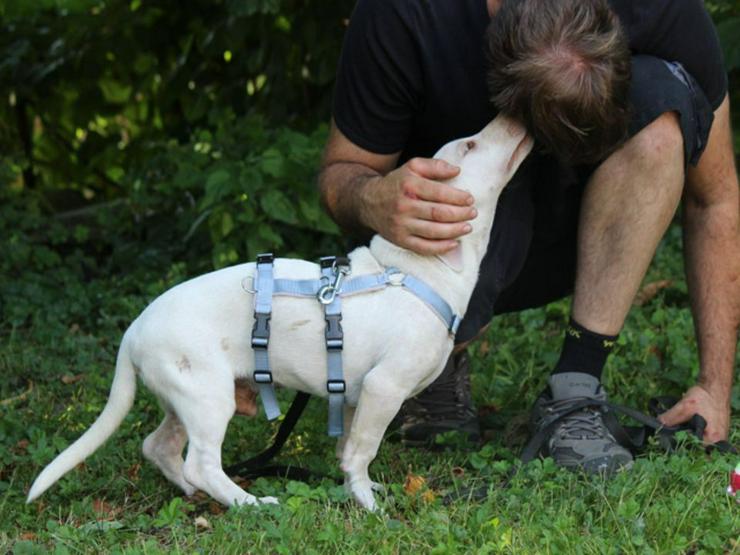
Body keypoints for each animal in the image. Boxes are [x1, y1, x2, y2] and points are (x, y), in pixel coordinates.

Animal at [24, 113, 532, 512]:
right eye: (470, 145)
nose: (514, 113)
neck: (410, 270)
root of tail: (133, 332)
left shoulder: (355, 395)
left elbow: (349, 450)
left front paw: (361, 491)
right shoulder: (383, 388)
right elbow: (363, 451)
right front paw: (368, 506)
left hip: (185, 396)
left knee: (160, 447)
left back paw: (194, 493)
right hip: (208, 397)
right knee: (201, 461)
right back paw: (250, 503)